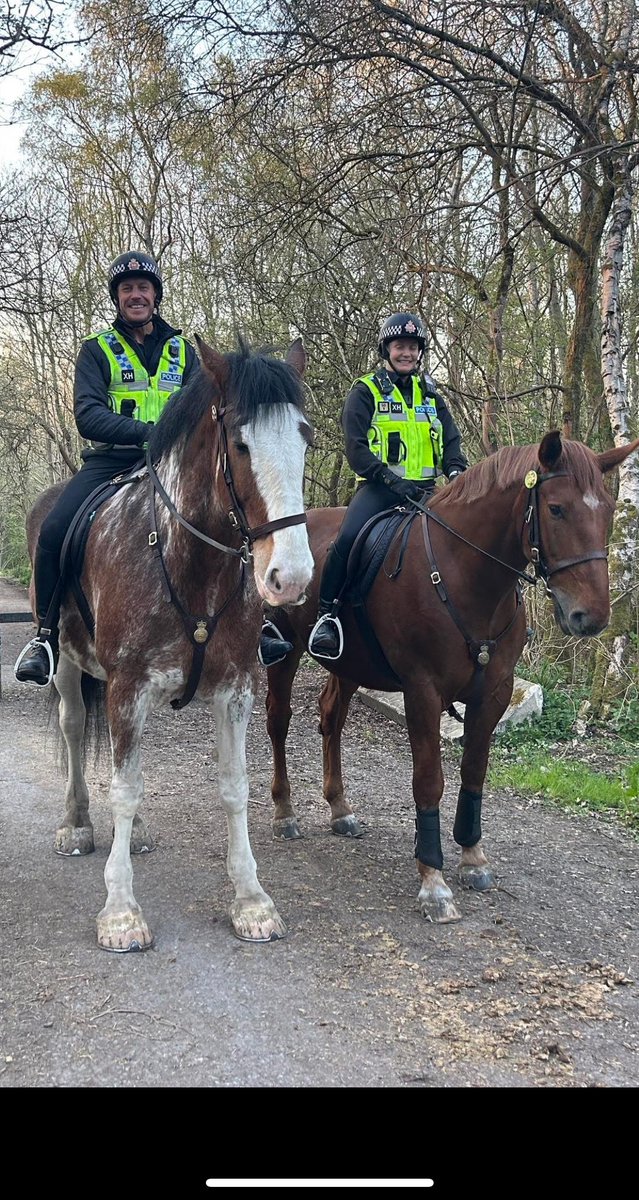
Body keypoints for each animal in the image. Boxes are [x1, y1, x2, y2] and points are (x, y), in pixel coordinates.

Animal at [26, 335, 314, 951]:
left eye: (304, 438)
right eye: (241, 444)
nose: (291, 577)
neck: (189, 564)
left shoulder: (235, 690)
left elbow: (233, 788)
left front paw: (251, 900)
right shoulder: (128, 688)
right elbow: (124, 787)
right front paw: (120, 911)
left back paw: (129, 833)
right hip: (69, 668)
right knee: (74, 730)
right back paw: (76, 823)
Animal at [264, 431, 639, 923]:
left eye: (609, 510)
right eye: (556, 509)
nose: (591, 617)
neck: (464, 575)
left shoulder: (495, 692)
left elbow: (474, 772)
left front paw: (473, 857)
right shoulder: (422, 692)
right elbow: (429, 779)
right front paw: (433, 879)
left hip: (350, 665)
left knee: (331, 719)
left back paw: (340, 808)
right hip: (283, 653)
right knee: (278, 720)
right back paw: (285, 812)